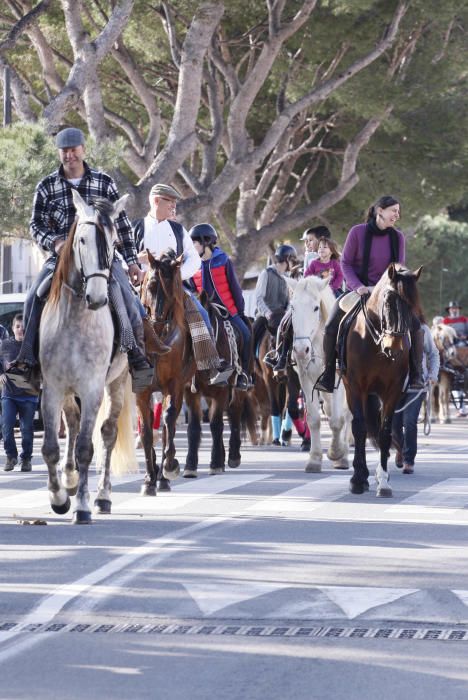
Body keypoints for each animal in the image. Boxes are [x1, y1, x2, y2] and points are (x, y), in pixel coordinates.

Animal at [40, 189, 135, 524]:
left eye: (114, 242)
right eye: (81, 240)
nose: (96, 297)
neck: (76, 319)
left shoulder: (93, 387)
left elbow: (85, 447)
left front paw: (81, 506)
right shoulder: (53, 387)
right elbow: (51, 447)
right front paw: (58, 498)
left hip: (116, 383)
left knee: (106, 433)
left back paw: (103, 497)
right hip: (70, 390)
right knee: (71, 421)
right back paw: (68, 480)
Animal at [288, 276, 352, 474]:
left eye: (316, 307)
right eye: (292, 307)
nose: (301, 350)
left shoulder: (338, 380)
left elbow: (338, 420)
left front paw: (336, 453)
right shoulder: (306, 379)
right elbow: (314, 419)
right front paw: (314, 460)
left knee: (347, 415)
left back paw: (344, 455)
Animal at [342, 262, 422, 498]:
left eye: (412, 304)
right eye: (388, 302)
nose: (394, 348)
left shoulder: (392, 391)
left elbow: (384, 432)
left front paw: (384, 482)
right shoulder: (356, 388)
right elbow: (359, 429)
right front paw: (357, 480)